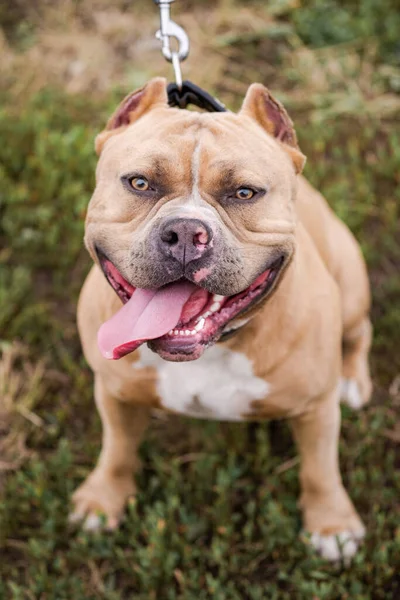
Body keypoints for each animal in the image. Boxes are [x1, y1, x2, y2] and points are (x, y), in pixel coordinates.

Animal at [71, 77, 372, 560]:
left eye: (244, 192)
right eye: (139, 183)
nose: (185, 232)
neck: (214, 347)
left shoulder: (316, 408)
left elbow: (320, 468)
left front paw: (332, 524)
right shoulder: (115, 394)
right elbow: (116, 449)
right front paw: (103, 500)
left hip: (350, 283)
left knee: (361, 331)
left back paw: (353, 380)